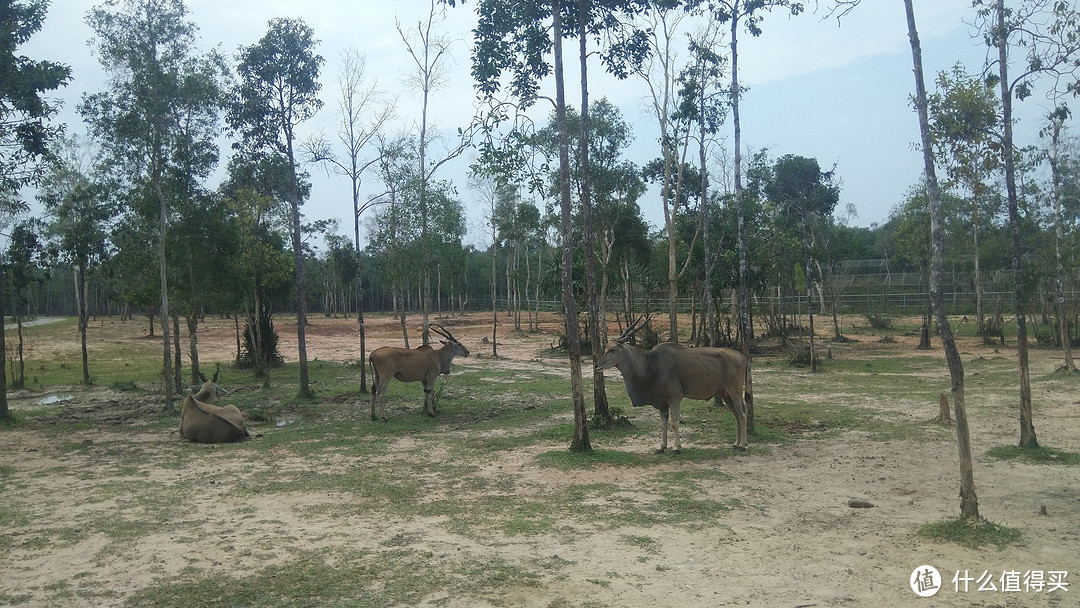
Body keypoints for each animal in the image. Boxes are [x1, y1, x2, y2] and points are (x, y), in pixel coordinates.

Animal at [600, 319, 751, 451]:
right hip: (725, 394)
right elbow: (663, 424)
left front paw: (676, 448)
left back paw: (742, 445)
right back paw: (736, 444)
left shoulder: (675, 398)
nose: (597, 365)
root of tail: (742, 357)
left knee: (743, 413)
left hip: (735, 391)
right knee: (737, 415)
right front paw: (661, 447)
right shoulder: (662, 404)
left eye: (612, 349)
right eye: (605, 348)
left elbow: (674, 422)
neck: (650, 364)